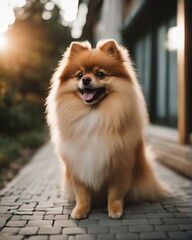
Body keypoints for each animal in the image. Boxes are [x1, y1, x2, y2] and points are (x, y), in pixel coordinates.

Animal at [45, 39, 169, 219]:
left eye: (100, 74)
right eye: (79, 75)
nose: (86, 79)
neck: (93, 114)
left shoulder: (120, 164)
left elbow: (115, 192)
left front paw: (115, 209)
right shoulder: (78, 164)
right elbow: (82, 192)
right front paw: (80, 210)